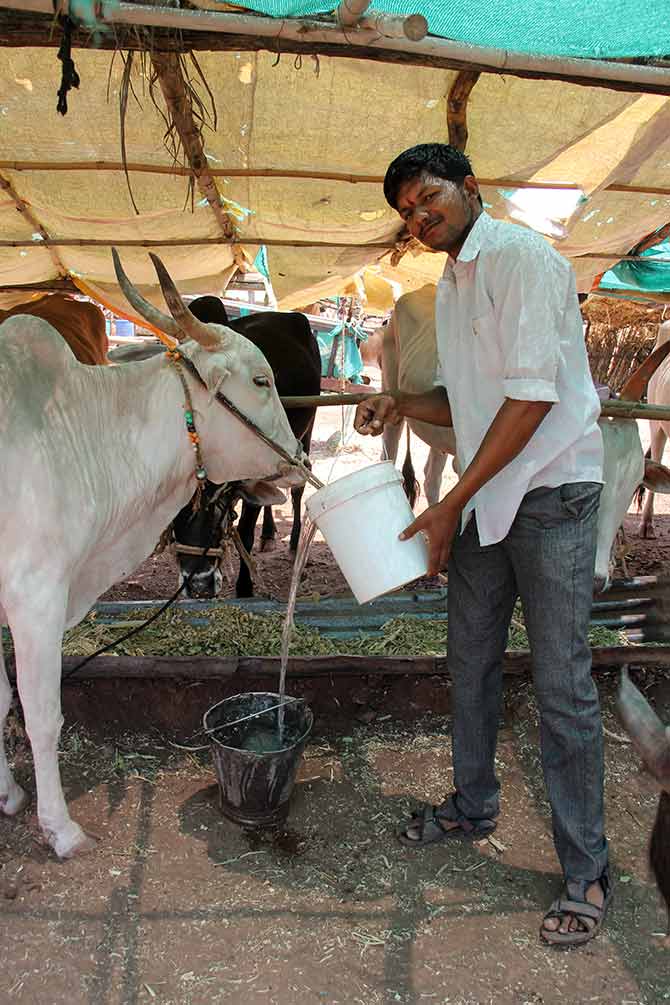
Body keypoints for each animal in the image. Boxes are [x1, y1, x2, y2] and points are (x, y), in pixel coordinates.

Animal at [0, 251, 303, 856]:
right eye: (261, 380)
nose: (300, 456)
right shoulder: (33, 598)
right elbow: (41, 714)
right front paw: (60, 829)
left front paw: (9, 794)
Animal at [363, 285, 670, 586]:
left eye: (634, 485)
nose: (596, 579)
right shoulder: (467, 463)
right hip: (391, 401)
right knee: (391, 455)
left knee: (431, 477)